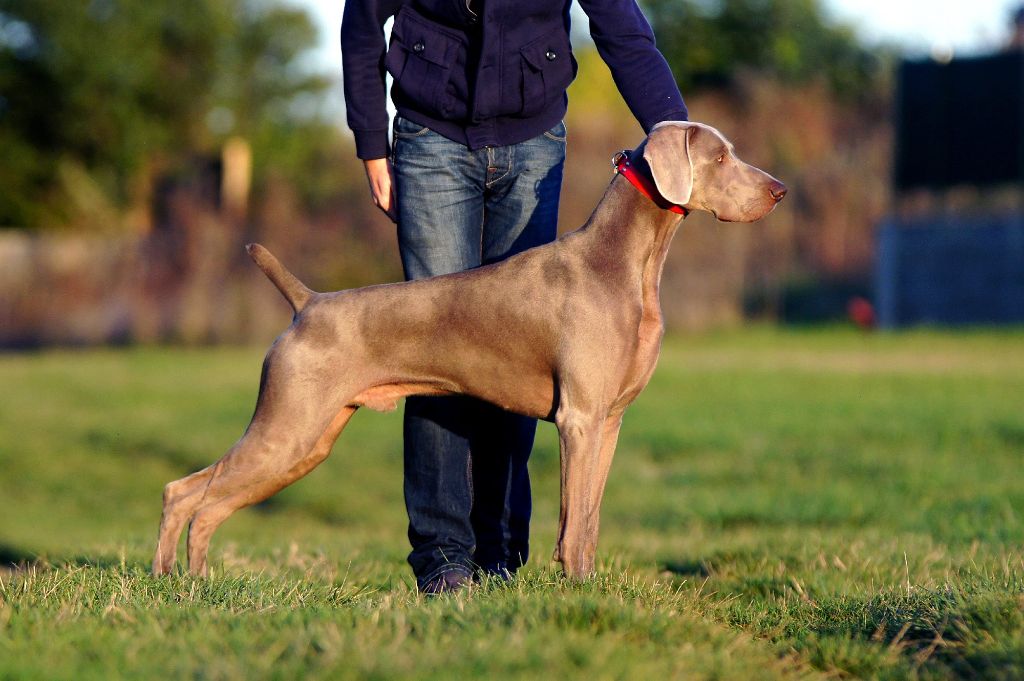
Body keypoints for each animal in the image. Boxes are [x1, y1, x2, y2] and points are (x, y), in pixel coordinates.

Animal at [151, 122, 786, 577]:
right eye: (721, 158)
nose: (779, 191)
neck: (626, 263)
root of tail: (308, 302)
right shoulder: (578, 419)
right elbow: (572, 520)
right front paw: (576, 589)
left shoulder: (609, 421)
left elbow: (590, 519)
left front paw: (590, 588)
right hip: (288, 426)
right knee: (190, 496)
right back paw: (184, 583)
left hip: (310, 439)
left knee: (195, 498)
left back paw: (181, 583)